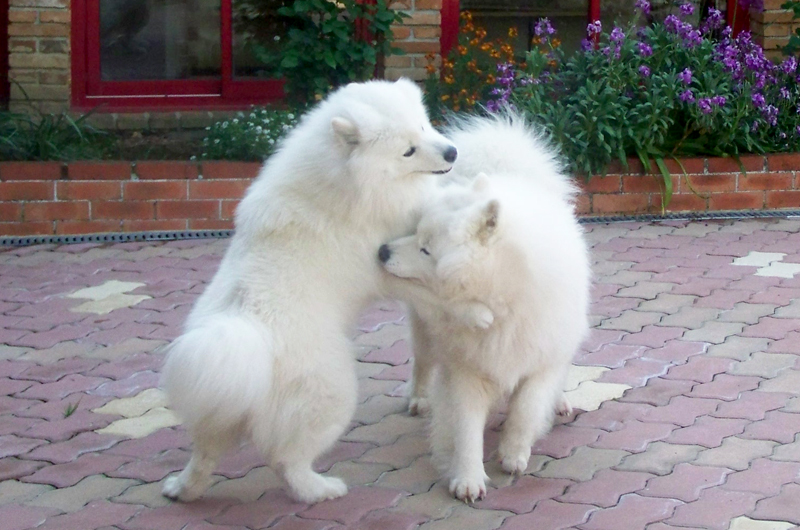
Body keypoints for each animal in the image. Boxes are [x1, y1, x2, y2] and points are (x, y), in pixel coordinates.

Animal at [159, 79, 456, 504]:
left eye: (423, 125)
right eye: (407, 150)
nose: (452, 152)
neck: (341, 180)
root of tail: (250, 339)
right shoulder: (385, 253)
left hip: (216, 402)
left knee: (204, 455)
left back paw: (181, 489)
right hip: (330, 396)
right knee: (287, 460)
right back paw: (321, 489)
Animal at [378, 114, 592, 500]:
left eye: (426, 249)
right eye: (415, 233)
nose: (382, 251)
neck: (501, 303)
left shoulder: (541, 359)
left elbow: (526, 409)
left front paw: (513, 452)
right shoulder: (465, 369)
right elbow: (466, 429)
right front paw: (468, 478)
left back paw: (559, 402)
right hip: (424, 332)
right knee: (423, 362)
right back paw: (418, 399)